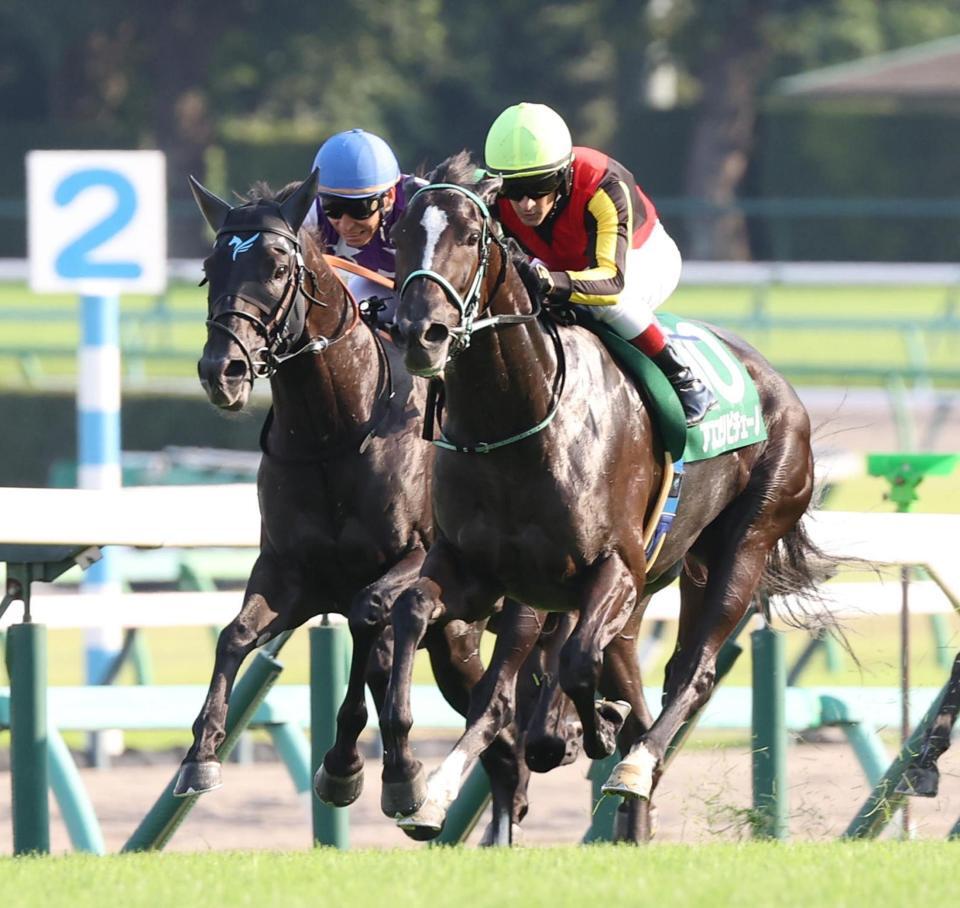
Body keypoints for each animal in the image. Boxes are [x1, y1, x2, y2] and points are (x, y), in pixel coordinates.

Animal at [376, 154, 824, 836]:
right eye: (401, 235)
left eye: (473, 237)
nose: (420, 333)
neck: (517, 422)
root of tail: (778, 384)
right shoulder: (475, 570)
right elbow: (412, 613)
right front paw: (408, 782)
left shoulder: (613, 567)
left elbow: (577, 662)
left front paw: (581, 732)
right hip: (667, 575)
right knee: (635, 686)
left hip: (744, 543)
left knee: (691, 673)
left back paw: (630, 762)